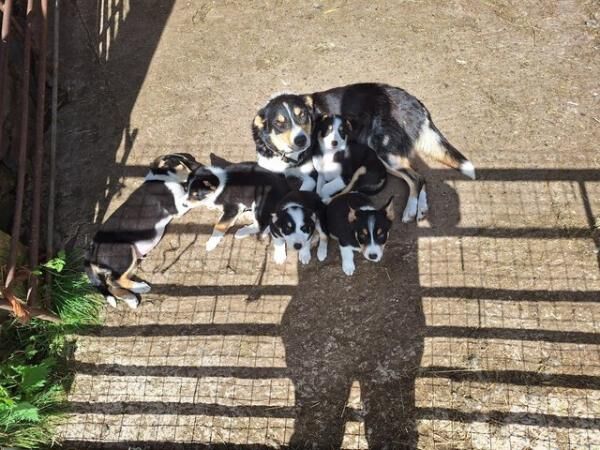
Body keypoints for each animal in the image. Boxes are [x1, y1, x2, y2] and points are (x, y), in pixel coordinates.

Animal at [85, 153, 199, 308]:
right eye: (185, 162)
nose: (201, 168)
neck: (162, 177)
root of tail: (93, 248)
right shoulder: (177, 208)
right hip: (125, 252)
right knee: (115, 280)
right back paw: (140, 288)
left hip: (129, 261)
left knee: (112, 284)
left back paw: (130, 299)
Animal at [255, 83, 476, 222]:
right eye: (279, 123)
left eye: (302, 117)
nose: (302, 140)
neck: (286, 156)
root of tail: (416, 103)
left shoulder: (312, 176)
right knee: (420, 176)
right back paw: (421, 208)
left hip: (384, 152)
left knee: (416, 178)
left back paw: (410, 210)